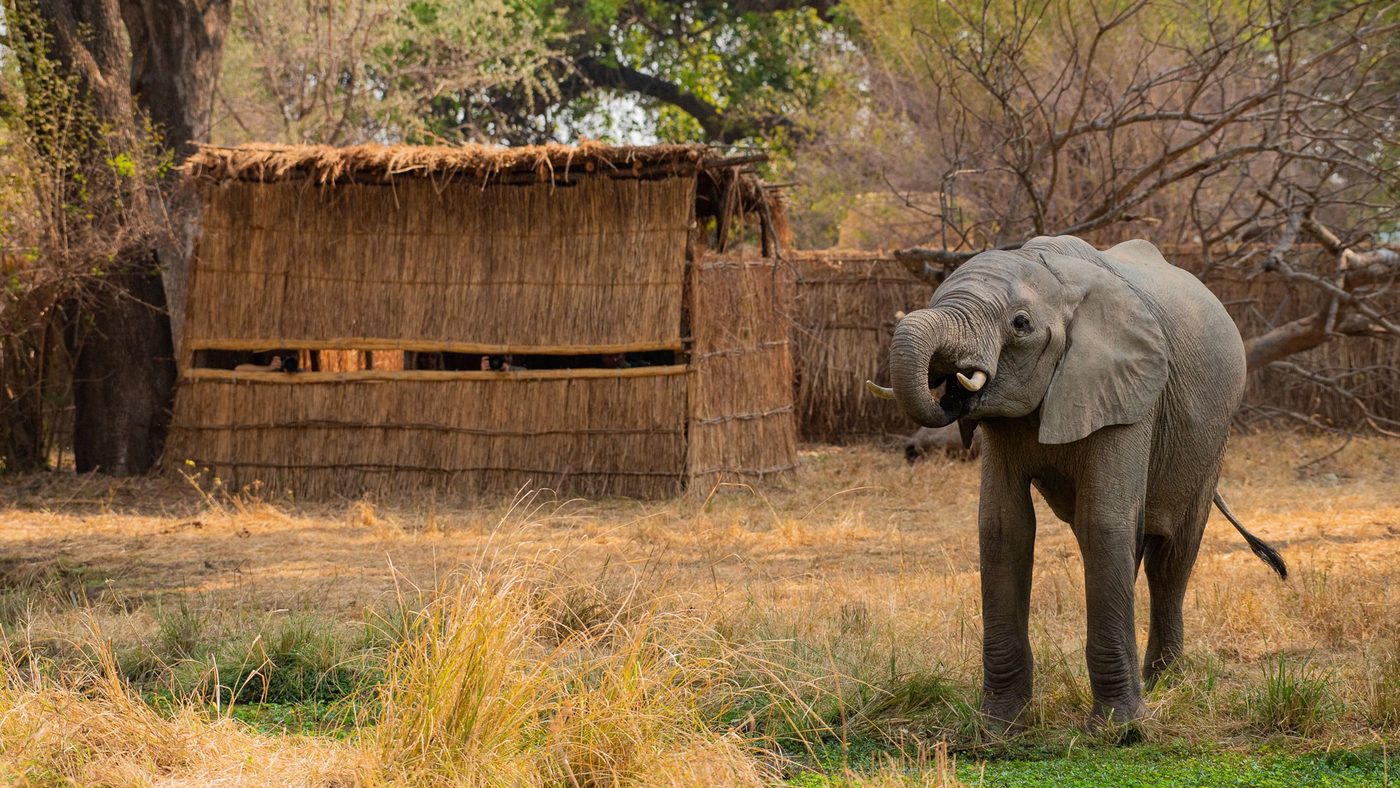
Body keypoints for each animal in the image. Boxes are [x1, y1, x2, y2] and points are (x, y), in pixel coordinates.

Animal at [865, 235, 1286, 729]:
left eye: (1021, 324)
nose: (951, 390)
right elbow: (1003, 527)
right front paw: (998, 727)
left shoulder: (1129, 391)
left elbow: (1102, 522)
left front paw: (1120, 730)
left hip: (1213, 437)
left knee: (1171, 557)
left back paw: (1166, 683)